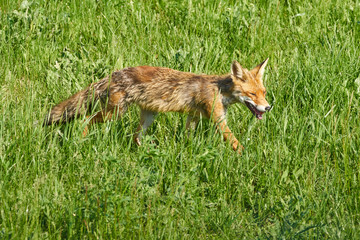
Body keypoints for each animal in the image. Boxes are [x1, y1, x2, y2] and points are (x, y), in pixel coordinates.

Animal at [44, 59, 270, 153]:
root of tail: (116, 73)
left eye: (264, 92)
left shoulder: (194, 116)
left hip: (147, 116)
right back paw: (80, 138)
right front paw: (246, 156)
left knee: (135, 138)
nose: (268, 108)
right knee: (86, 119)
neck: (219, 90)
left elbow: (188, 136)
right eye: (252, 94)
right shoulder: (218, 119)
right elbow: (234, 141)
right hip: (114, 113)